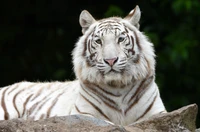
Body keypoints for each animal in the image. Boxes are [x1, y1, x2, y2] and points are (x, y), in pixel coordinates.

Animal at [0, 5, 166, 126]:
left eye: (120, 39)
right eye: (99, 41)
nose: (111, 60)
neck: (118, 86)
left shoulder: (157, 113)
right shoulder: (84, 115)